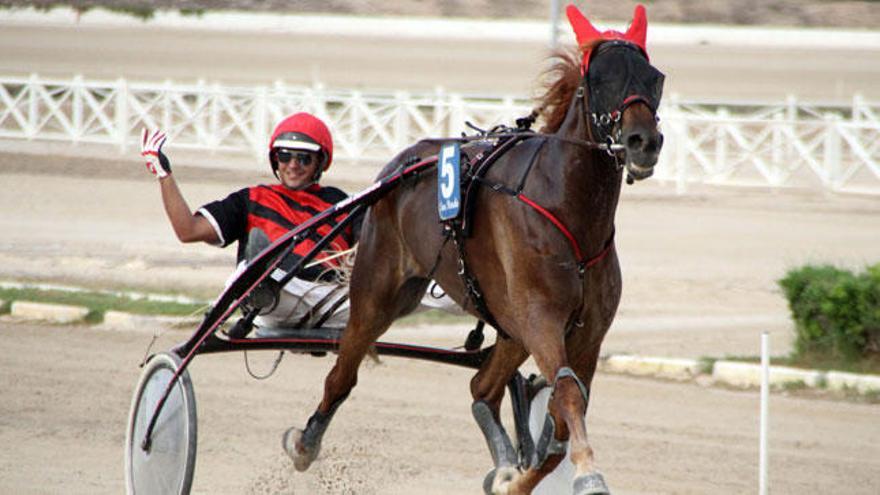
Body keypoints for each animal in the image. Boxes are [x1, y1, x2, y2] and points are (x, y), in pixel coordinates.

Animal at [286, 4, 664, 495]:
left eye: (655, 77)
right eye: (599, 78)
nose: (643, 141)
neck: (569, 208)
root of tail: (403, 163)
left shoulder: (587, 332)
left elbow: (561, 419)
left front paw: (518, 478)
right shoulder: (541, 318)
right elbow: (565, 395)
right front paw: (588, 473)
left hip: (508, 325)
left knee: (482, 388)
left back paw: (504, 461)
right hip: (379, 292)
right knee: (342, 374)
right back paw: (305, 443)